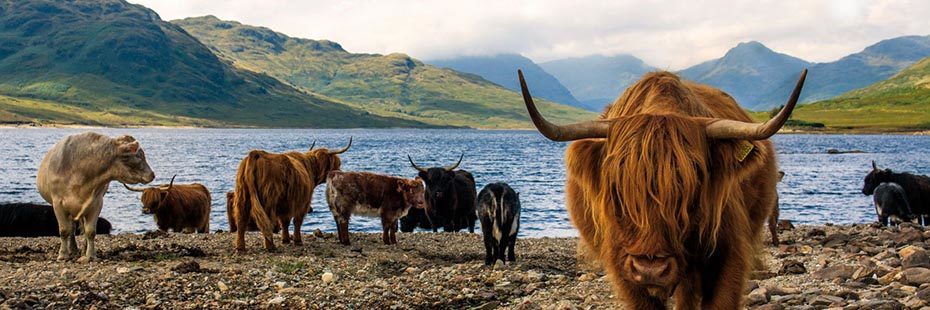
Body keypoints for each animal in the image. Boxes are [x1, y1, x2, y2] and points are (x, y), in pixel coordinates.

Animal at [37, 131, 154, 262]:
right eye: (139, 156)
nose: (152, 174)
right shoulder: (58, 203)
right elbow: (64, 230)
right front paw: (63, 255)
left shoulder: (96, 203)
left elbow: (90, 231)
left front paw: (90, 255)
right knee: (71, 228)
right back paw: (73, 250)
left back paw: (82, 250)